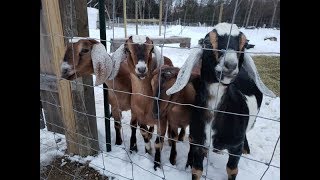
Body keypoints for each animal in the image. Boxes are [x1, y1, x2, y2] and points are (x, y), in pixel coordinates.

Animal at [165, 22, 276, 180]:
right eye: (207, 42)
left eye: (244, 44)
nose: (230, 65)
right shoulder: (199, 142)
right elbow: (197, 169)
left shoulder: (235, 147)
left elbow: (232, 169)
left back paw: (246, 149)